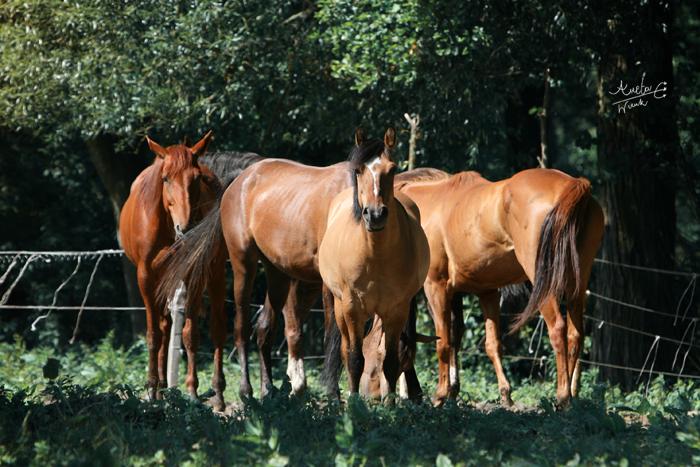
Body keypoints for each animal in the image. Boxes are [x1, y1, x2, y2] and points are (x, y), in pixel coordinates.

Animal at [119, 133, 258, 412]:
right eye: (165, 178)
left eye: (196, 179)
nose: (186, 227)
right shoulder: (145, 277)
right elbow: (154, 335)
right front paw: (152, 389)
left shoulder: (195, 271)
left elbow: (192, 334)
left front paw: (193, 393)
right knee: (164, 328)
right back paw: (162, 387)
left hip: (207, 273)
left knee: (209, 329)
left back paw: (213, 393)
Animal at [318, 129, 430, 402]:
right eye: (358, 171)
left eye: (392, 169)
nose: (375, 214)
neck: (375, 254)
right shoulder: (351, 308)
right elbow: (355, 358)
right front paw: (354, 402)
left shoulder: (396, 309)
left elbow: (390, 361)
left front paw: (390, 404)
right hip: (339, 309)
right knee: (346, 350)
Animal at [380, 167, 604, 406]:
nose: (385, 395)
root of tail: (574, 185)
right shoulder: (486, 292)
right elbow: (489, 343)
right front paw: (503, 394)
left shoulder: (436, 287)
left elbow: (444, 342)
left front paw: (441, 395)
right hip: (576, 285)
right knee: (575, 334)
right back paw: (571, 394)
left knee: (558, 330)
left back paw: (562, 397)